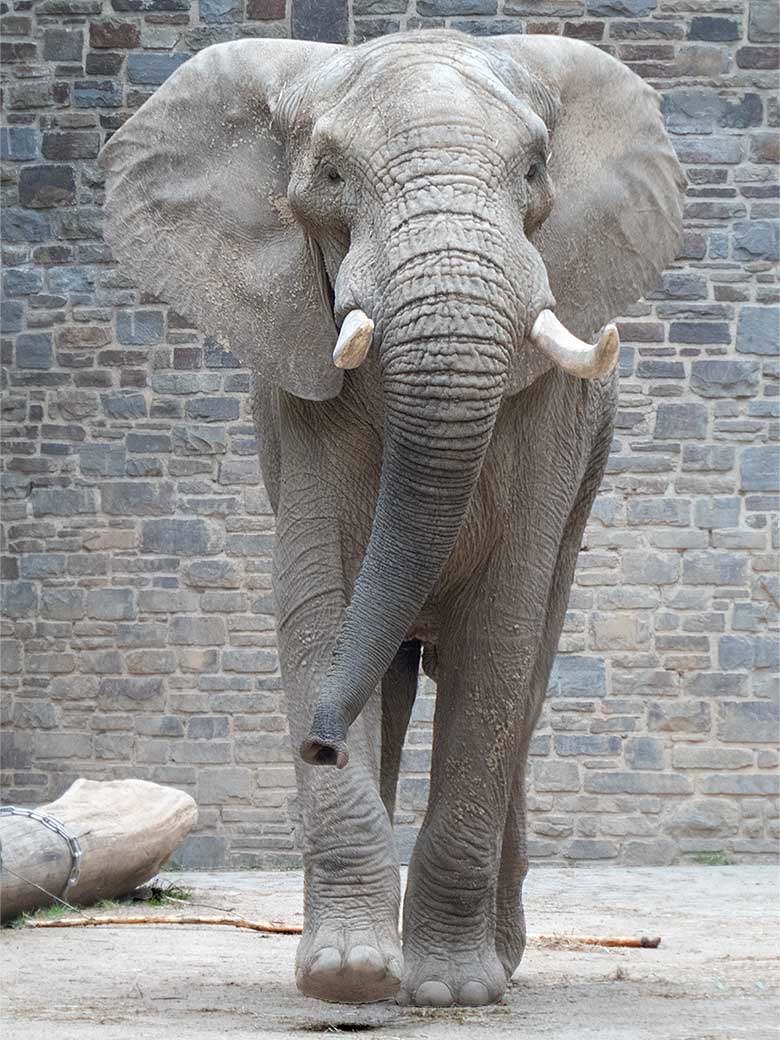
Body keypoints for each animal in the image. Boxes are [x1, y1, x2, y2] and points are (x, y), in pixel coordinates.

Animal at [100, 30, 686, 1006]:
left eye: (535, 171)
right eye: (332, 175)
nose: (315, 746)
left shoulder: (552, 426)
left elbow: (501, 635)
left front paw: (453, 991)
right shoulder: (298, 394)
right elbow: (322, 608)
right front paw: (348, 978)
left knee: (528, 676)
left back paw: (502, 960)